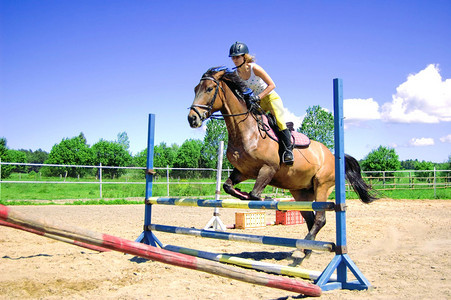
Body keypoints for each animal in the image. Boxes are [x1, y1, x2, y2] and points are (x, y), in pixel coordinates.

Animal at [188, 67, 378, 254]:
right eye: (195, 89)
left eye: (209, 89)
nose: (192, 118)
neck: (247, 131)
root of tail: (332, 156)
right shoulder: (243, 171)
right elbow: (228, 186)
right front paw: (242, 194)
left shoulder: (268, 168)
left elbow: (255, 194)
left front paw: (258, 198)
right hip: (301, 191)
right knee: (310, 217)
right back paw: (306, 248)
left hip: (322, 186)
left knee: (320, 218)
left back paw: (304, 246)